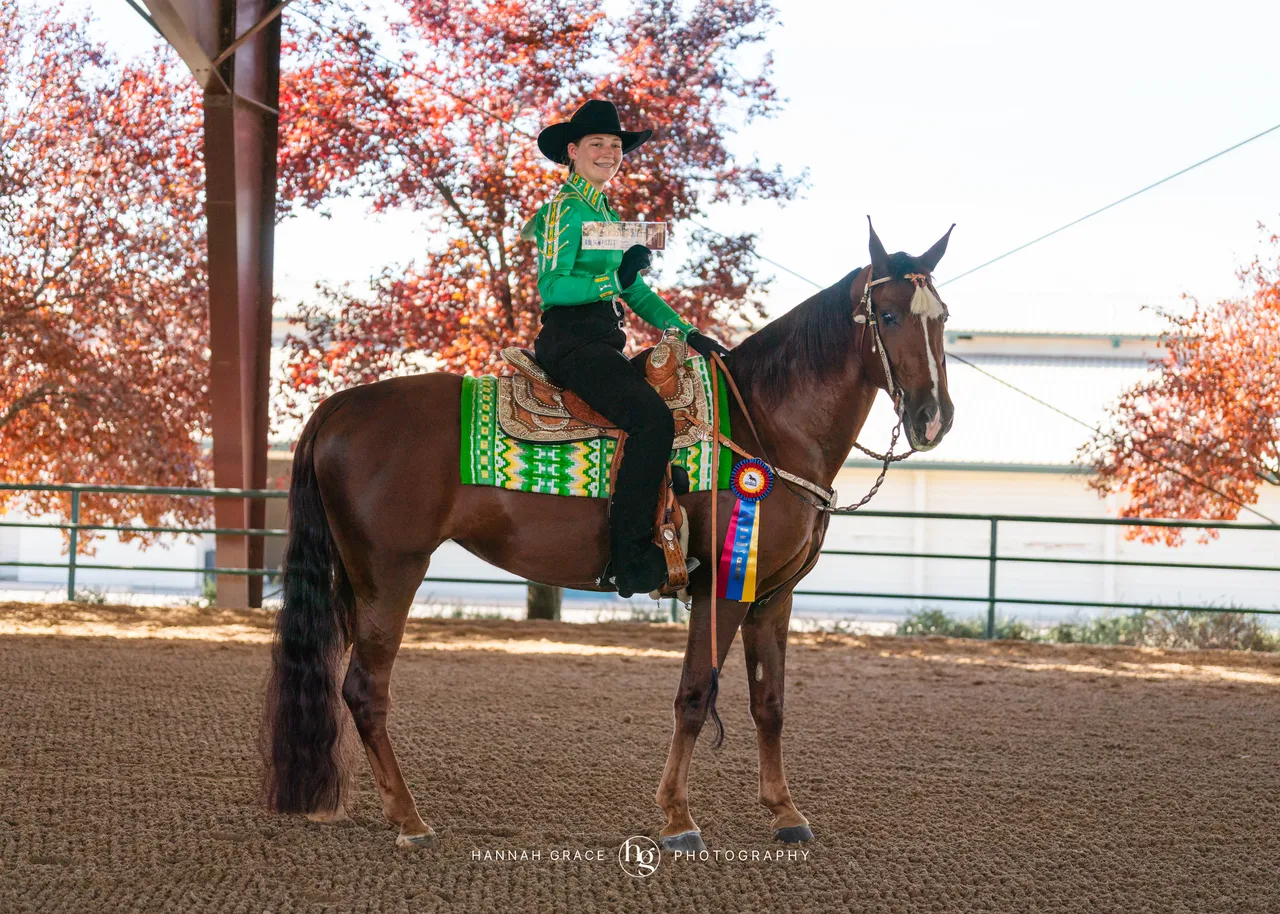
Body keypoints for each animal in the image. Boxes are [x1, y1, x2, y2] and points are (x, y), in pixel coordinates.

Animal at [263, 221, 957, 850]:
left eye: (942, 318)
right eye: (888, 315)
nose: (934, 417)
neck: (765, 423)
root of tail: (341, 406)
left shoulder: (771, 594)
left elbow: (770, 703)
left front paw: (785, 813)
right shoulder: (721, 590)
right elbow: (694, 696)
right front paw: (677, 819)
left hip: (358, 580)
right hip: (390, 575)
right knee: (365, 691)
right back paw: (410, 822)